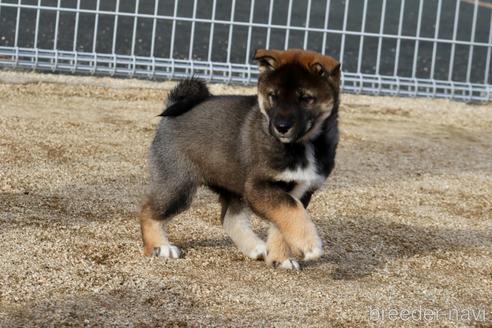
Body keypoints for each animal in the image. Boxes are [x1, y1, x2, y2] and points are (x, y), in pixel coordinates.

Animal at [138, 48, 338, 270]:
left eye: (305, 98)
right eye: (273, 96)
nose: (281, 127)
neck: (302, 144)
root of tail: (172, 110)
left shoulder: (301, 190)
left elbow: (283, 221)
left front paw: (280, 258)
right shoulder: (258, 186)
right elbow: (290, 210)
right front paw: (310, 244)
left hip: (231, 183)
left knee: (229, 218)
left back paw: (256, 247)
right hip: (178, 184)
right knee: (147, 210)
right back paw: (160, 246)